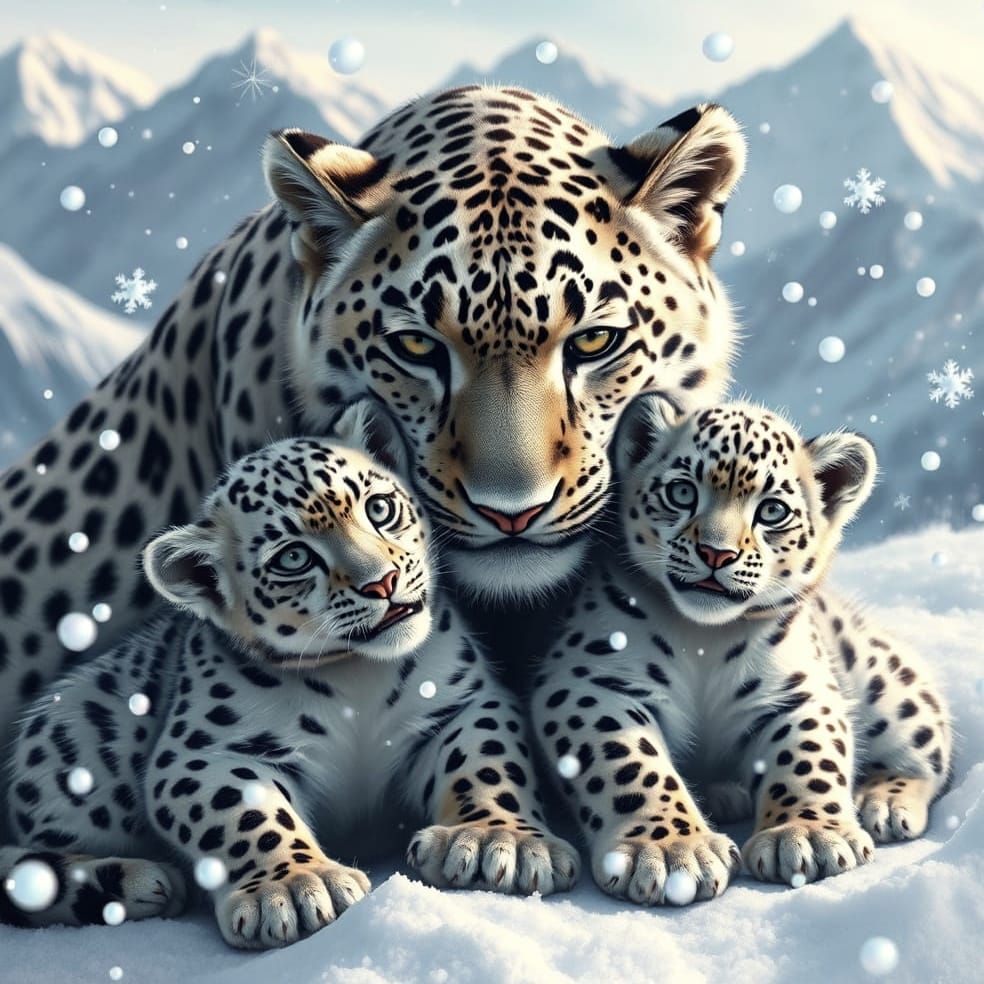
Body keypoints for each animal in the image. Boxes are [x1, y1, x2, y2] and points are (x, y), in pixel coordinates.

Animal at [0, 401, 578, 948]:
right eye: (294, 557)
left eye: (380, 508)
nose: (383, 582)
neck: (357, 679)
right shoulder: (206, 753)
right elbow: (247, 817)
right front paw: (296, 889)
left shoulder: (464, 704)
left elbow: (485, 765)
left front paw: (499, 844)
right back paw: (141, 881)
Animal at [531, 398, 952, 905]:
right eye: (681, 492)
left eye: (772, 511)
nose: (717, 553)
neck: (703, 640)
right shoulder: (592, 680)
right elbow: (632, 765)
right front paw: (671, 852)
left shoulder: (798, 691)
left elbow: (809, 756)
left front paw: (808, 837)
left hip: (883, 680)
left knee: (926, 746)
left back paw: (882, 803)